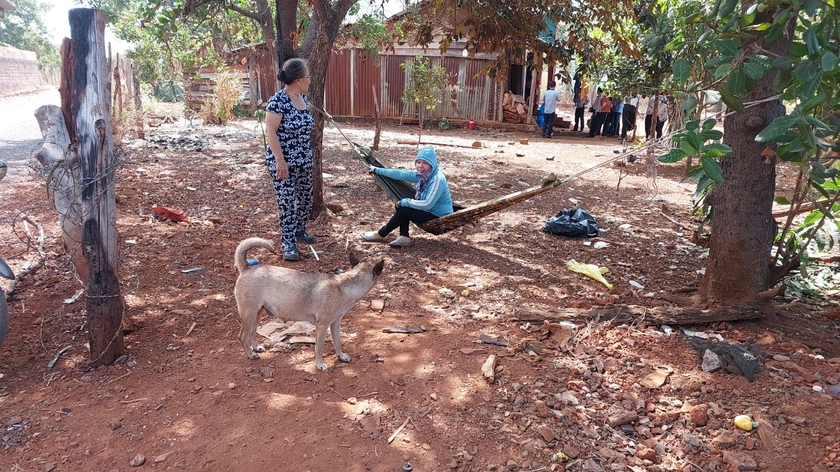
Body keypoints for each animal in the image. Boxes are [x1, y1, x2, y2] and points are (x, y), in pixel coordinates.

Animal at [233, 238, 384, 370]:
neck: (344, 286)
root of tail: (247, 268)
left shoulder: (335, 324)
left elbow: (337, 342)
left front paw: (340, 356)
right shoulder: (322, 326)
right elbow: (319, 347)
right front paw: (319, 364)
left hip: (257, 313)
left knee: (252, 332)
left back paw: (256, 348)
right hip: (249, 315)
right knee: (242, 336)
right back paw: (250, 354)